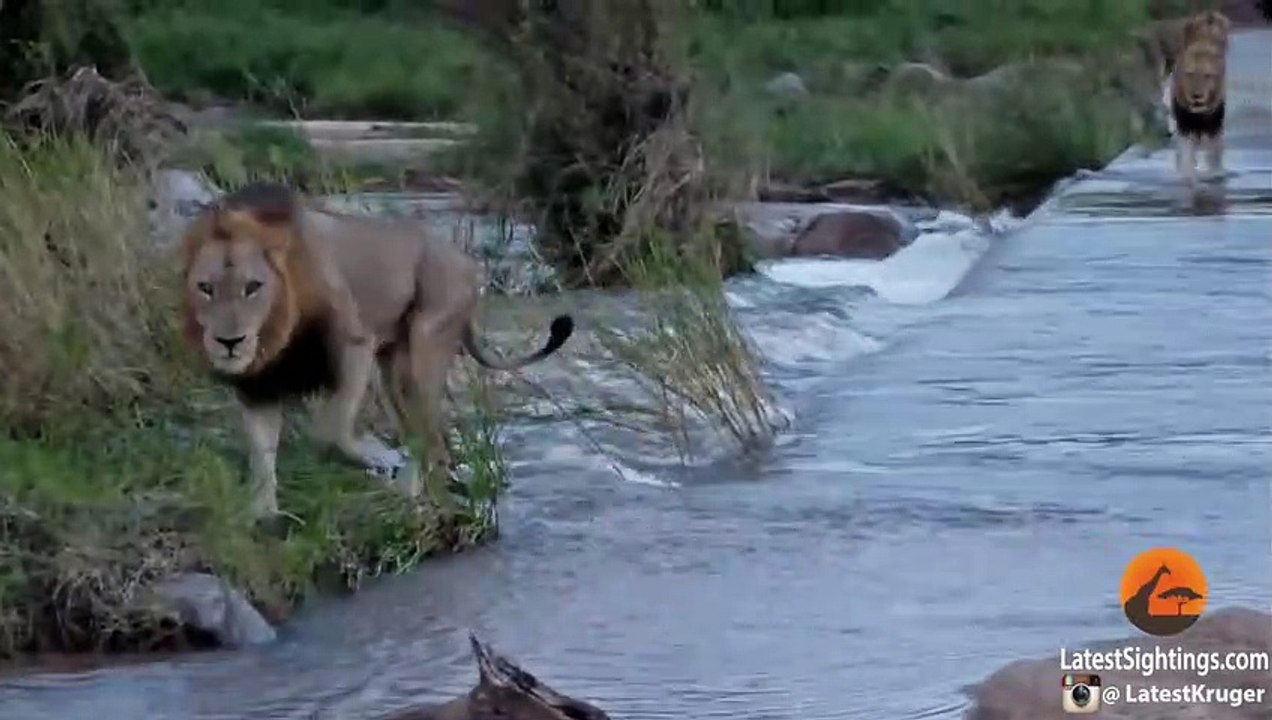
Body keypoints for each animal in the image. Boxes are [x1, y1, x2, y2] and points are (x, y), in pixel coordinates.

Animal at [181, 182, 574, 517]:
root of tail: (468, 264)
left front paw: (378, 456)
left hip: (425, 346)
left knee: (434, 442)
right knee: (419, 436)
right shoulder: (258, 385)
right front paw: (262, 515)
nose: (229, 342)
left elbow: (330, 429)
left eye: (253, 286)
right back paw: (409, 497)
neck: (275, 333)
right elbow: (261, 456)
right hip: (393, 374)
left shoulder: (354, 345)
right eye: (205, 288)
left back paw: (428, 501)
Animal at [1167, 10, 1231, 186]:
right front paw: (1189, 177)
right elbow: (1187, 156)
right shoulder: (1185, 126)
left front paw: (1215, 174)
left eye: (1207, 76)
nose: (1196, 96)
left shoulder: (1215, 126)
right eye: (1189, 74)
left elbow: (1214, 154)